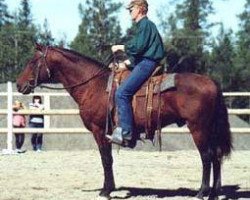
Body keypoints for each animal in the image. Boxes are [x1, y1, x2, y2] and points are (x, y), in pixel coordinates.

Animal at [16, 44, 232, 200]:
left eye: (33, 61)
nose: (19, 84)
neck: (93, 85)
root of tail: (212, 82)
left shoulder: (99, 131)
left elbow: (106, 160)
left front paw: (106, 191)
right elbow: (108, 159)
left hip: (198, 128)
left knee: (207, 157)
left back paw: (202, 192)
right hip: (209, 129)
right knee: (217, 156)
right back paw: (214, 193)